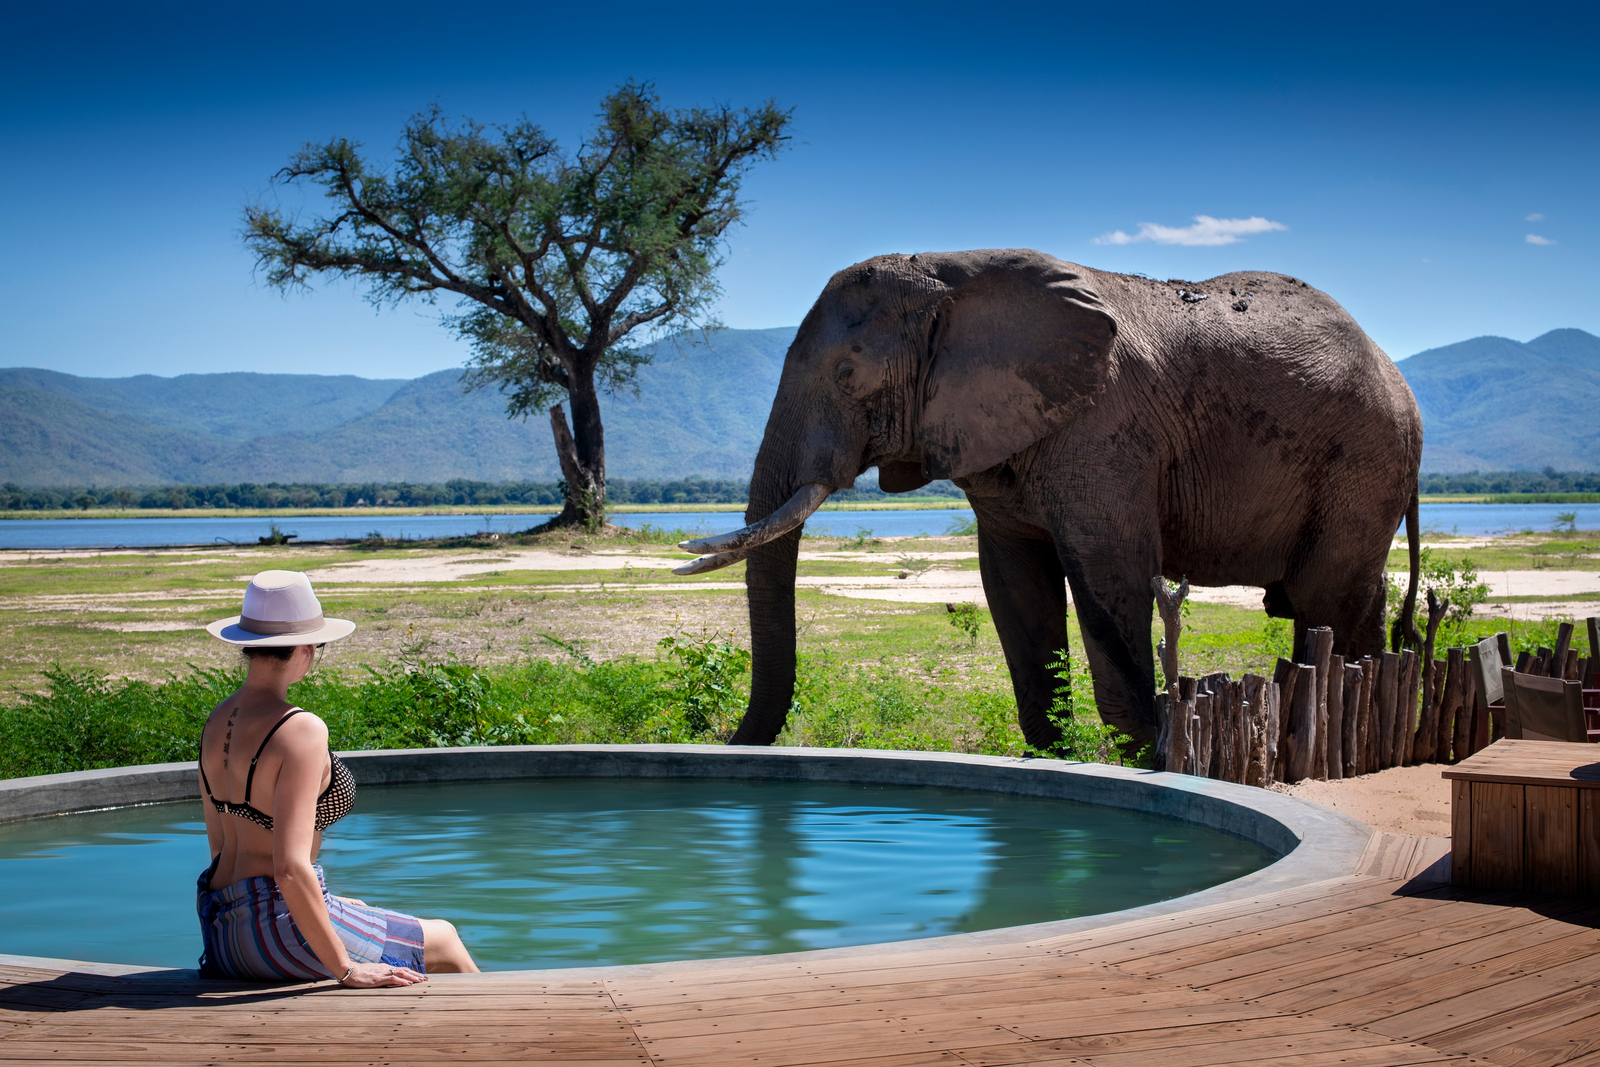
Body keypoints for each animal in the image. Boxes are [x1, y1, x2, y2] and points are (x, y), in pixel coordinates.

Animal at [676, 249, 1422, 751]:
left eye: (847, 373)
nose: (730, 745)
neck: (953, 273)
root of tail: (1398, 379)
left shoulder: (1104, 429)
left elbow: (1108, 573)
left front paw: (1149, 762)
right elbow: (1014, 584)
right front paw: (1059, 756)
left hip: (1364, 458)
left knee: (1324, 600)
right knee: (1350, 605)